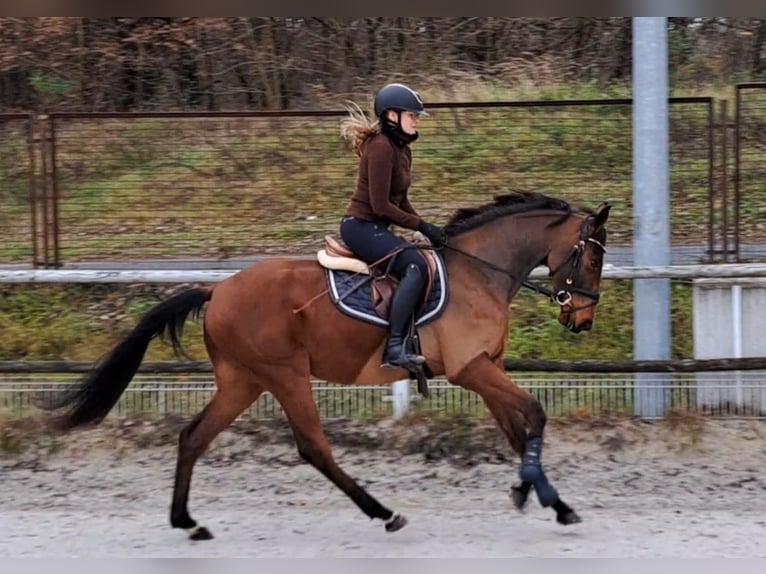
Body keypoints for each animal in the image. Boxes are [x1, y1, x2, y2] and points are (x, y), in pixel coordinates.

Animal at [46, 191, 612, 544]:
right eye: (591, 258)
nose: (582, 320)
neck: (480, 272)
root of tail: (218, 291)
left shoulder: (485, 367)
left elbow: (519, 430)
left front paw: (537, 493)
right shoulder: (471, 369)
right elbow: (534, 415)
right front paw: (548, 498)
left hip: (243, 382)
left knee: (193, 437)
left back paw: (188, 522)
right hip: (285, 375)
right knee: (313, 448)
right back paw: (384, 513)